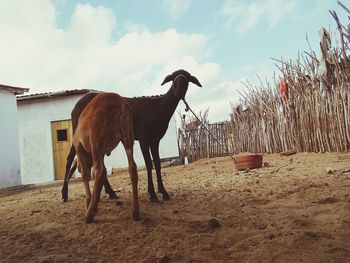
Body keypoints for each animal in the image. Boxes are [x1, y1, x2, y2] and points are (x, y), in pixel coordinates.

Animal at [61, 69, 201, 203]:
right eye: (173, 78)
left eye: (187, 79)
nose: (178, 91)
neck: (158, 107)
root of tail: (75, 106)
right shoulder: (144, 138)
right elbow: (149, 164)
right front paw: (153, 194)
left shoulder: (155, 140)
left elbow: (157, 163)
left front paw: (163, 192)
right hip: (79, 133)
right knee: (69, 160)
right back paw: (64, 194)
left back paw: (110, 193)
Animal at [73, 93, 139, 225]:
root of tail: (118, 100)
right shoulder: (102, 153)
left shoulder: (79, 147)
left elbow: (85, 175)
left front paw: (88, 201)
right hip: (127, 135)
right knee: (132, 167)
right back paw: (135, 212)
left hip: (96, 138)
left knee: (100, 171)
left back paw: (89, 214)